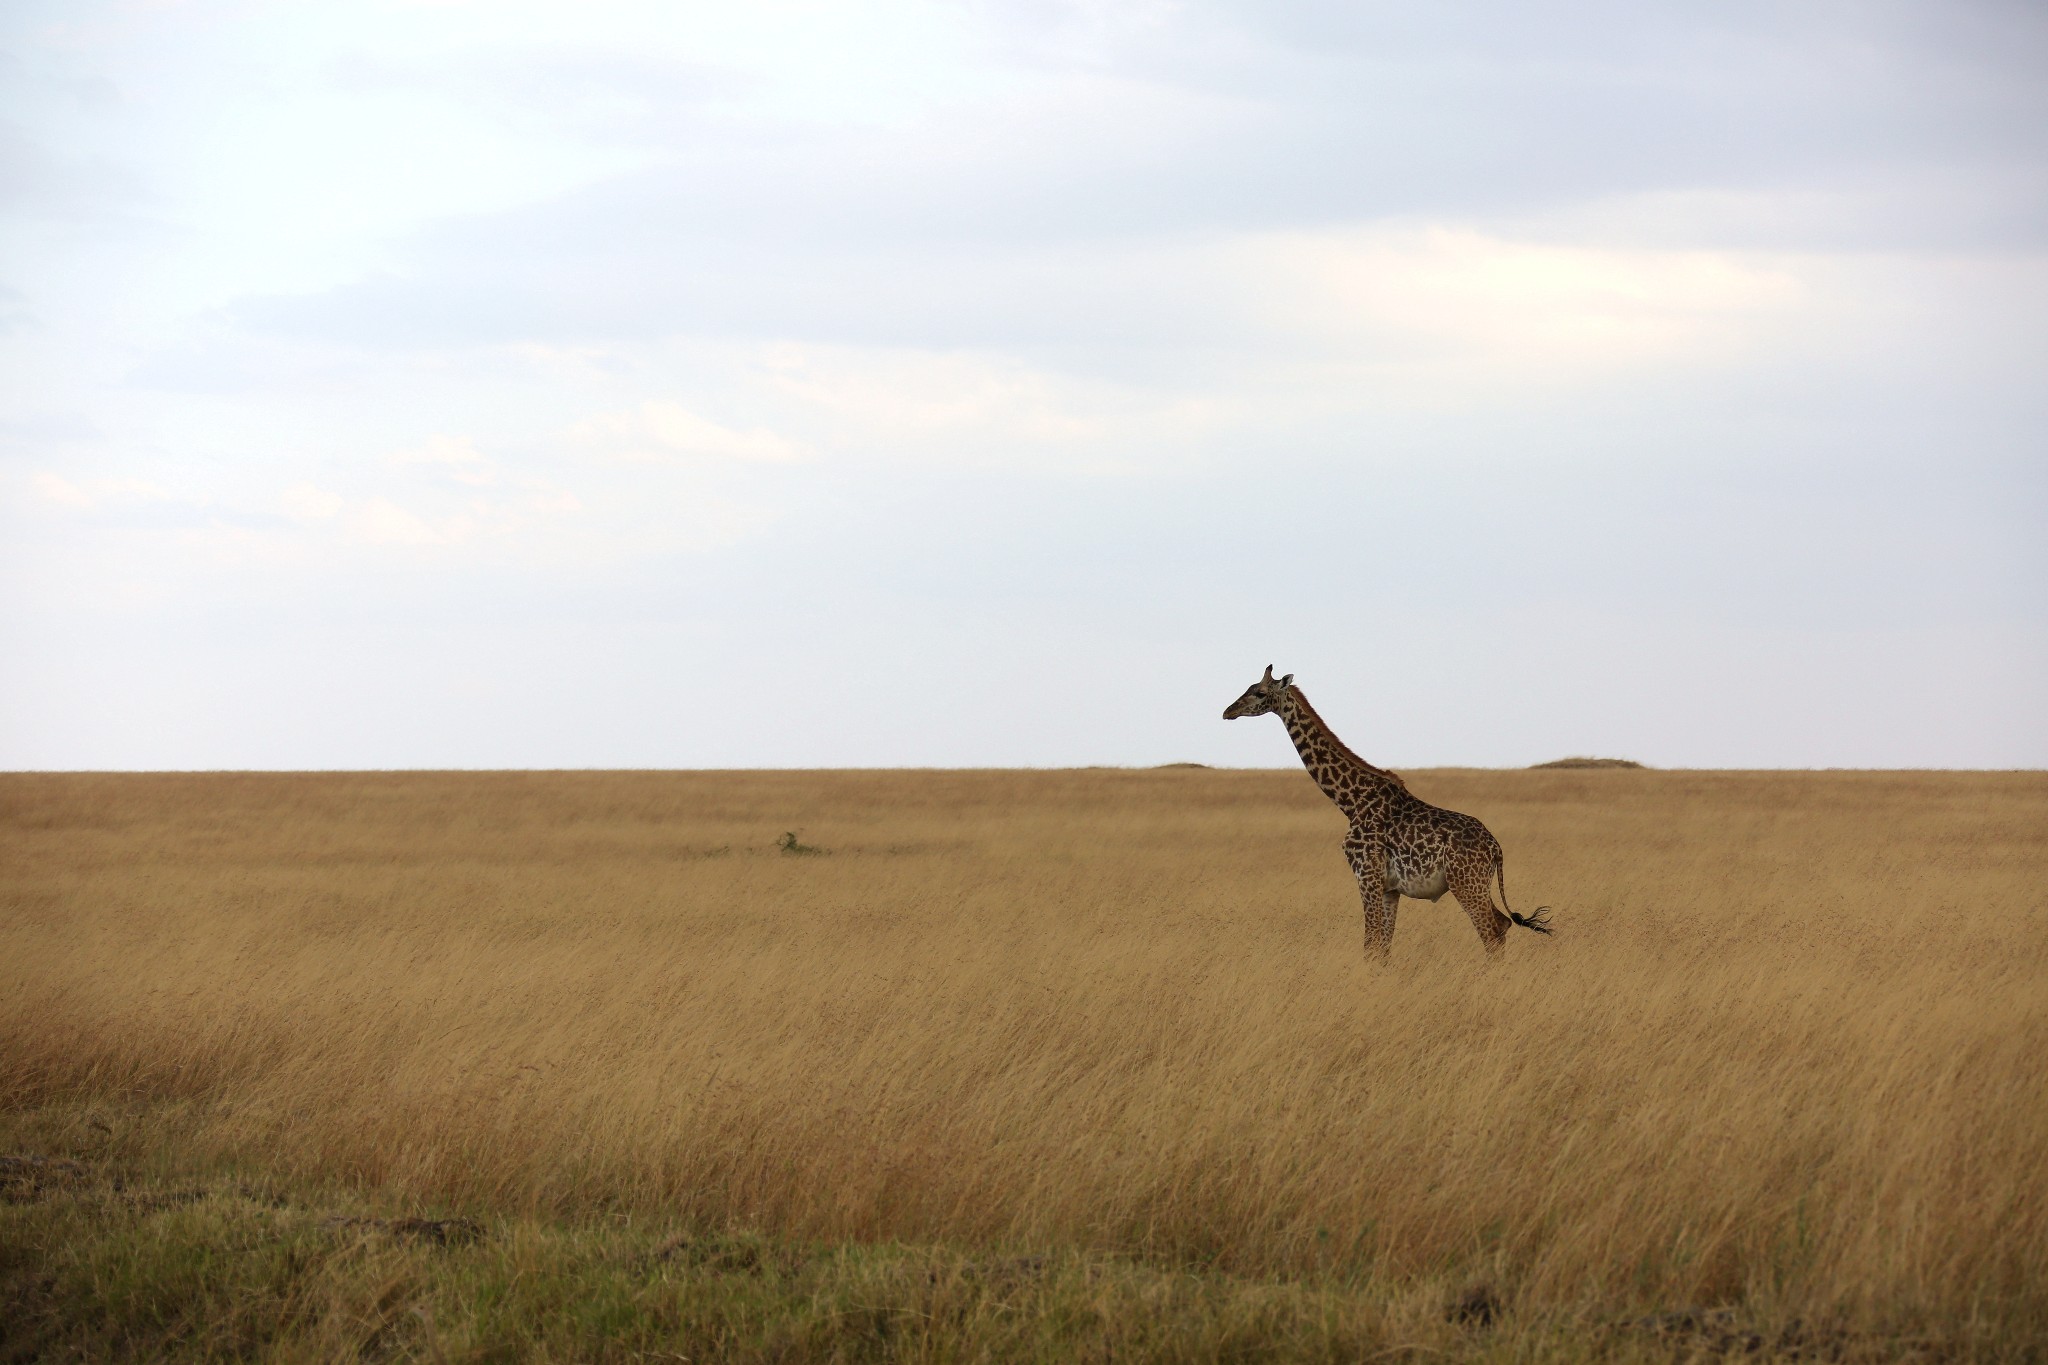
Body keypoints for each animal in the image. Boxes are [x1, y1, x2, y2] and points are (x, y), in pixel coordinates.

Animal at [1212, 667, 1548, 957]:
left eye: (1259, 692)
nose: (1227, 711)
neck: (1351, 801)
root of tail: (1496, 848)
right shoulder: (1389, 888)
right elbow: (1382, 949)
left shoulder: (1366, 875)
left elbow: (1370, 945)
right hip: (1476, 884)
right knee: (1501, 925)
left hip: (1466, 883)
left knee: (1491, 932)